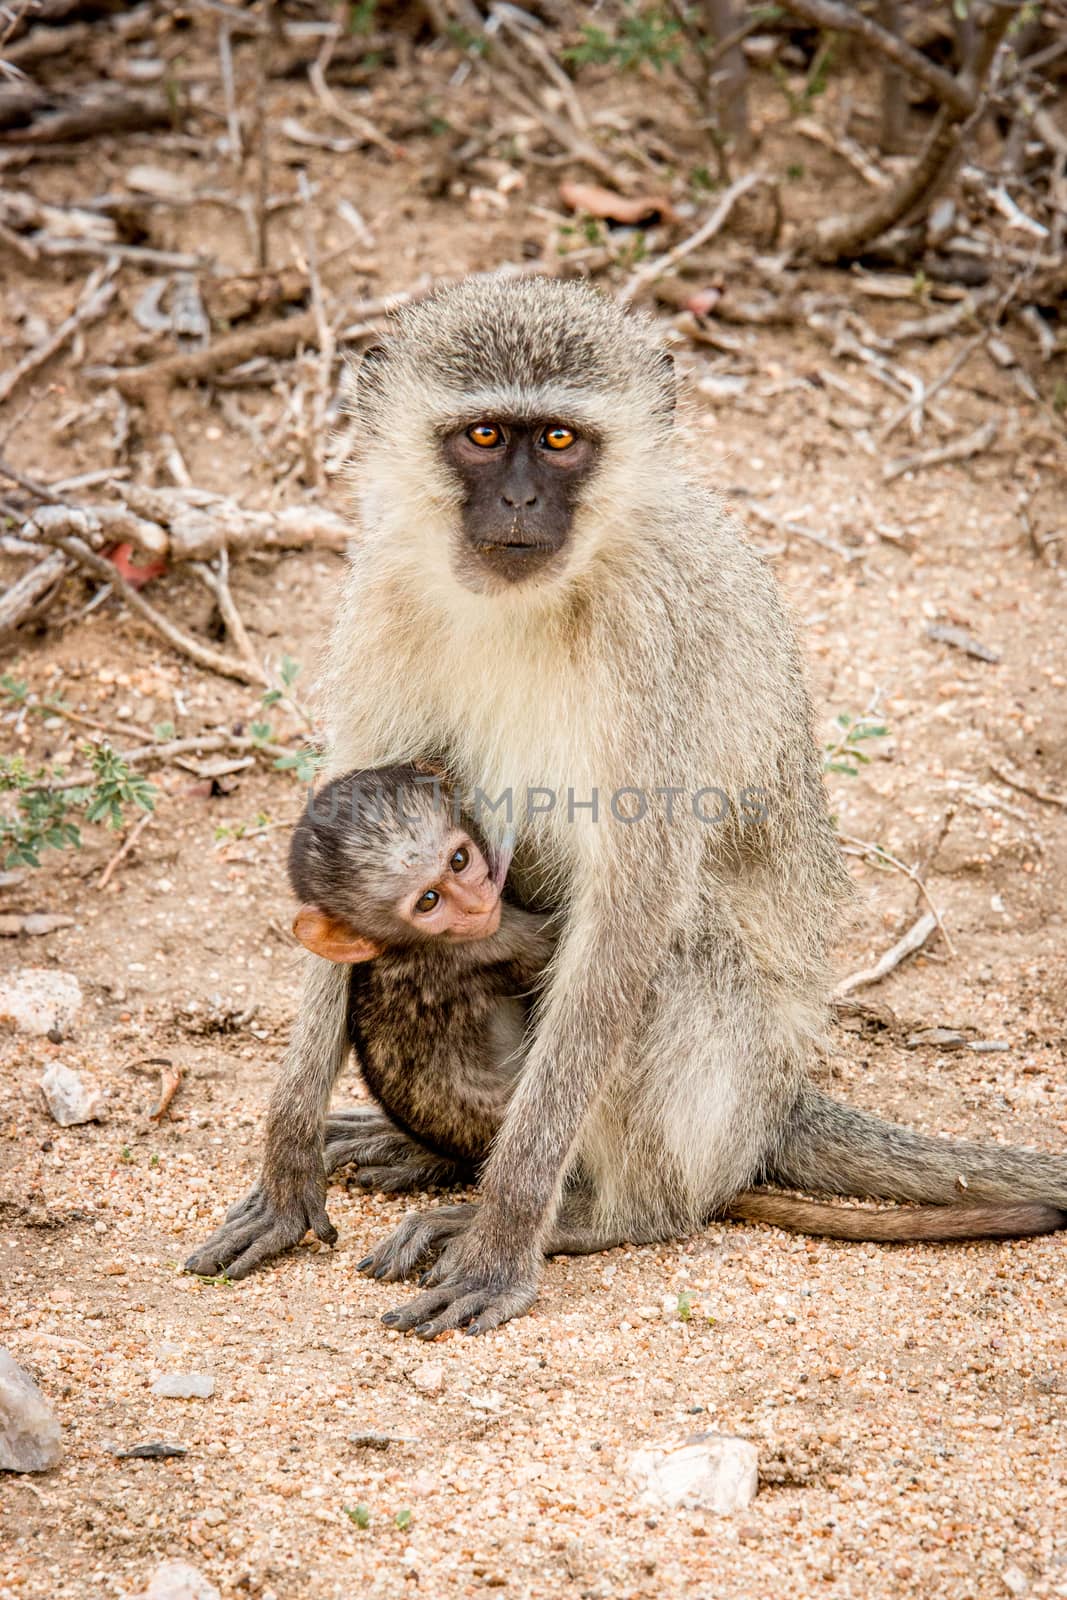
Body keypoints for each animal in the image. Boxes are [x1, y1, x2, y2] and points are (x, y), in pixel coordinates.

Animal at [185, 278, 1067, 1337]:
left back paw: (604, 1215)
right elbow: (341, 842)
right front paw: (286, 1168)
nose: (521, 500)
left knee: (672, 957)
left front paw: (502, 1236)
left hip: (730, 1081)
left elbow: (630, 908)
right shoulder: (384, 595)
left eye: (561, 441)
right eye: (485, 435)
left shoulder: (653, 637)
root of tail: (775, 1100)